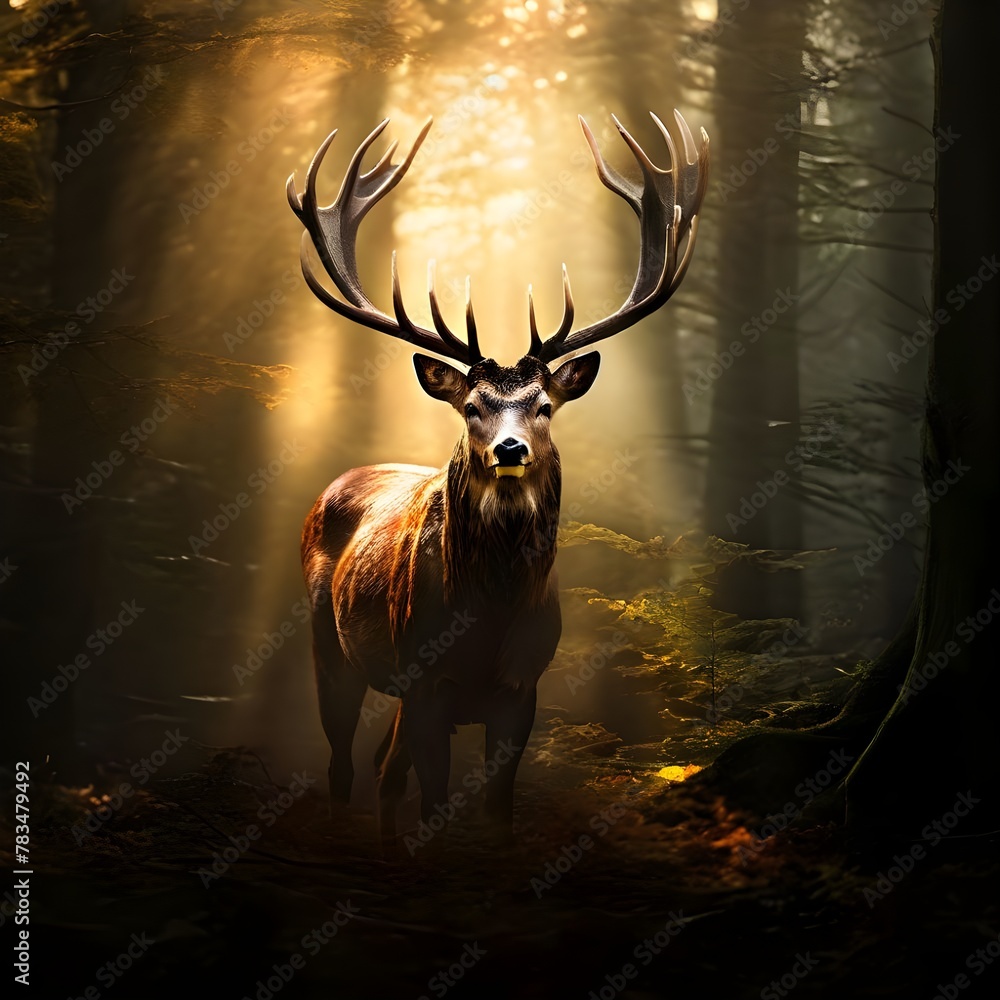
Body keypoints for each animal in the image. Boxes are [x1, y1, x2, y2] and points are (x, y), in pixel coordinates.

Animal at [287, 110, 708, 852]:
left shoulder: (523, 688)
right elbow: (433, 799)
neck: (489, 615)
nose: (510, 448)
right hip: (326, 642)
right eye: (471, 407)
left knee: (381, 766)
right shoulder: (425, 679)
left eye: (545, 406)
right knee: (344, 761)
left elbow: (498, 806)